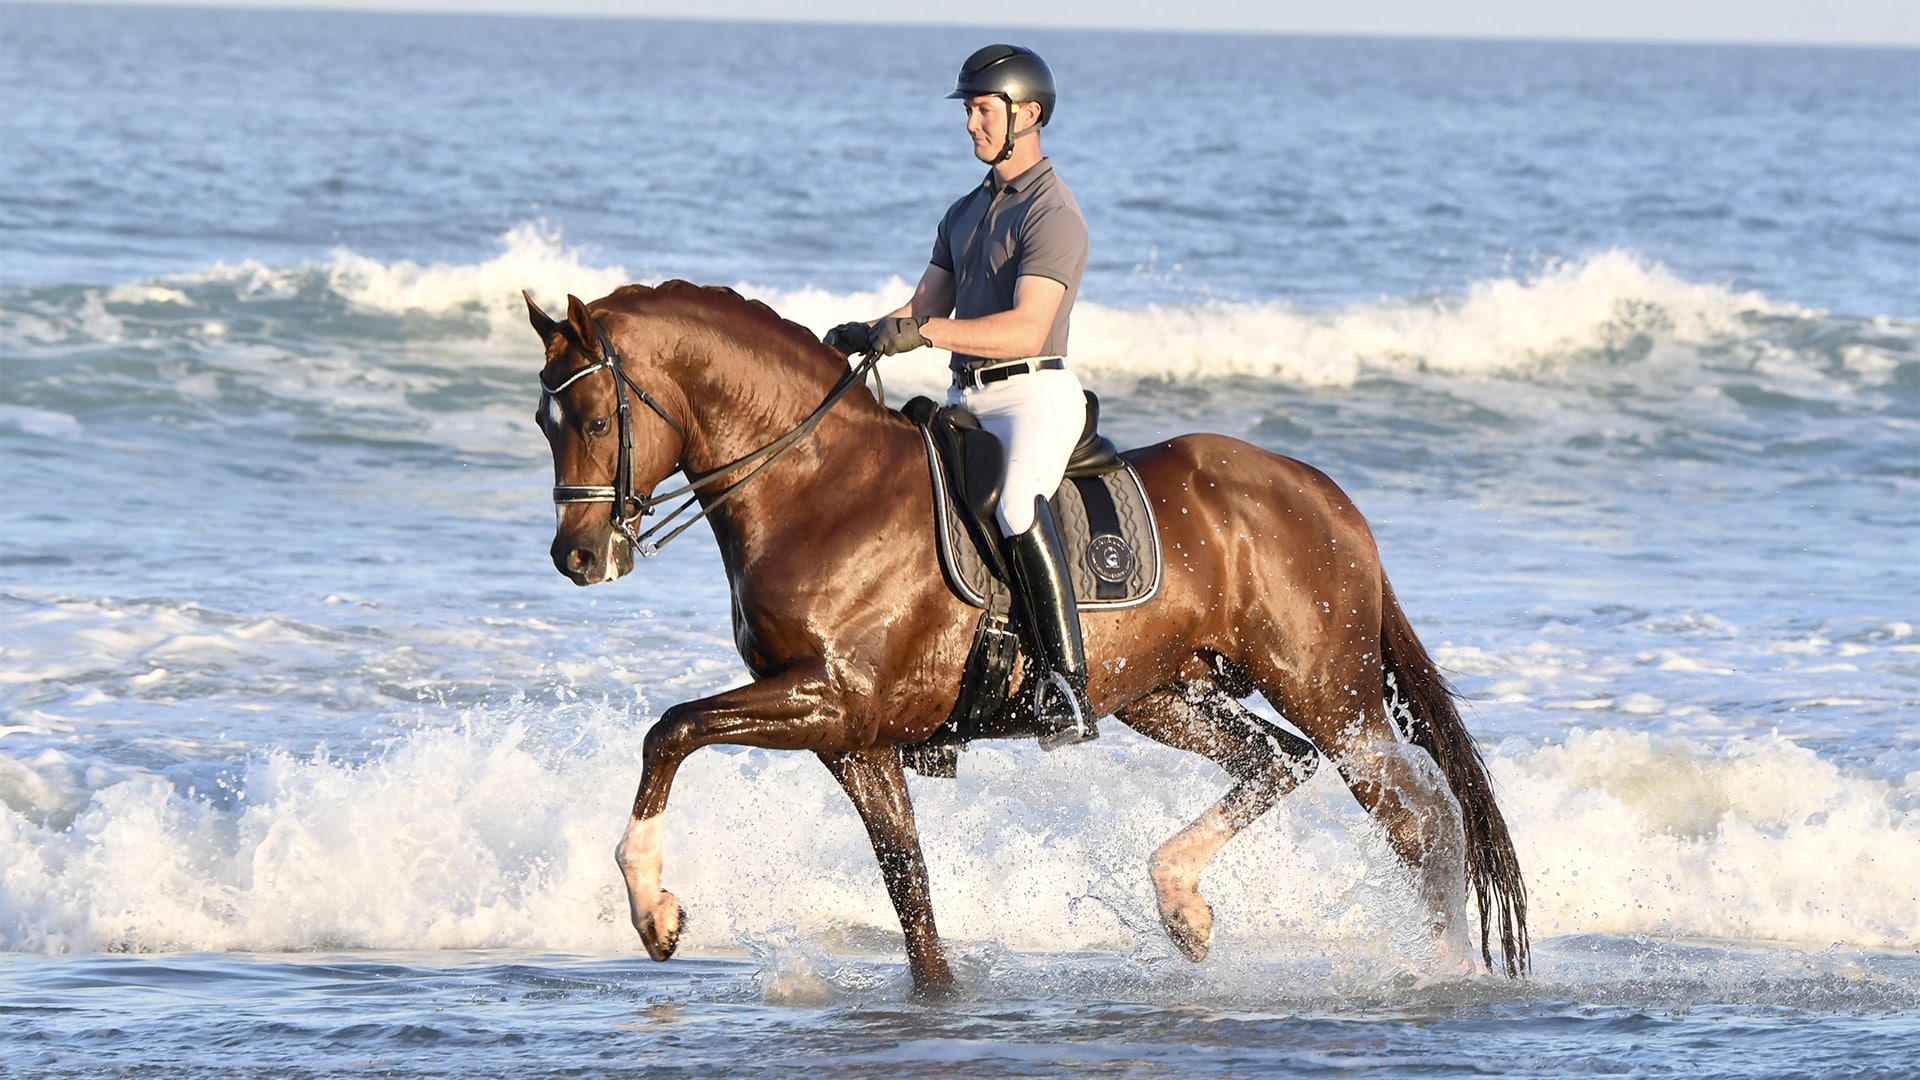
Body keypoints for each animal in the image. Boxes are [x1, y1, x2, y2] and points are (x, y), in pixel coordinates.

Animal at [526, 282, 1528, 991]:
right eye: (544, 420)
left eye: (598, 418)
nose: (577, 557)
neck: (817, 487)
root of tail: (1324, 493)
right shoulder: (856, 740)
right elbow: (910, 889)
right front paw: (938, 994)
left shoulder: (831, 700)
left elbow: (671, 729)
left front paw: (652, 907)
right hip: (1165, 694)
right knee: (1276, 762)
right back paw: (1182, 904)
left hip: (1331, 692)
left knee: (1420, 819)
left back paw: (1440, 970)